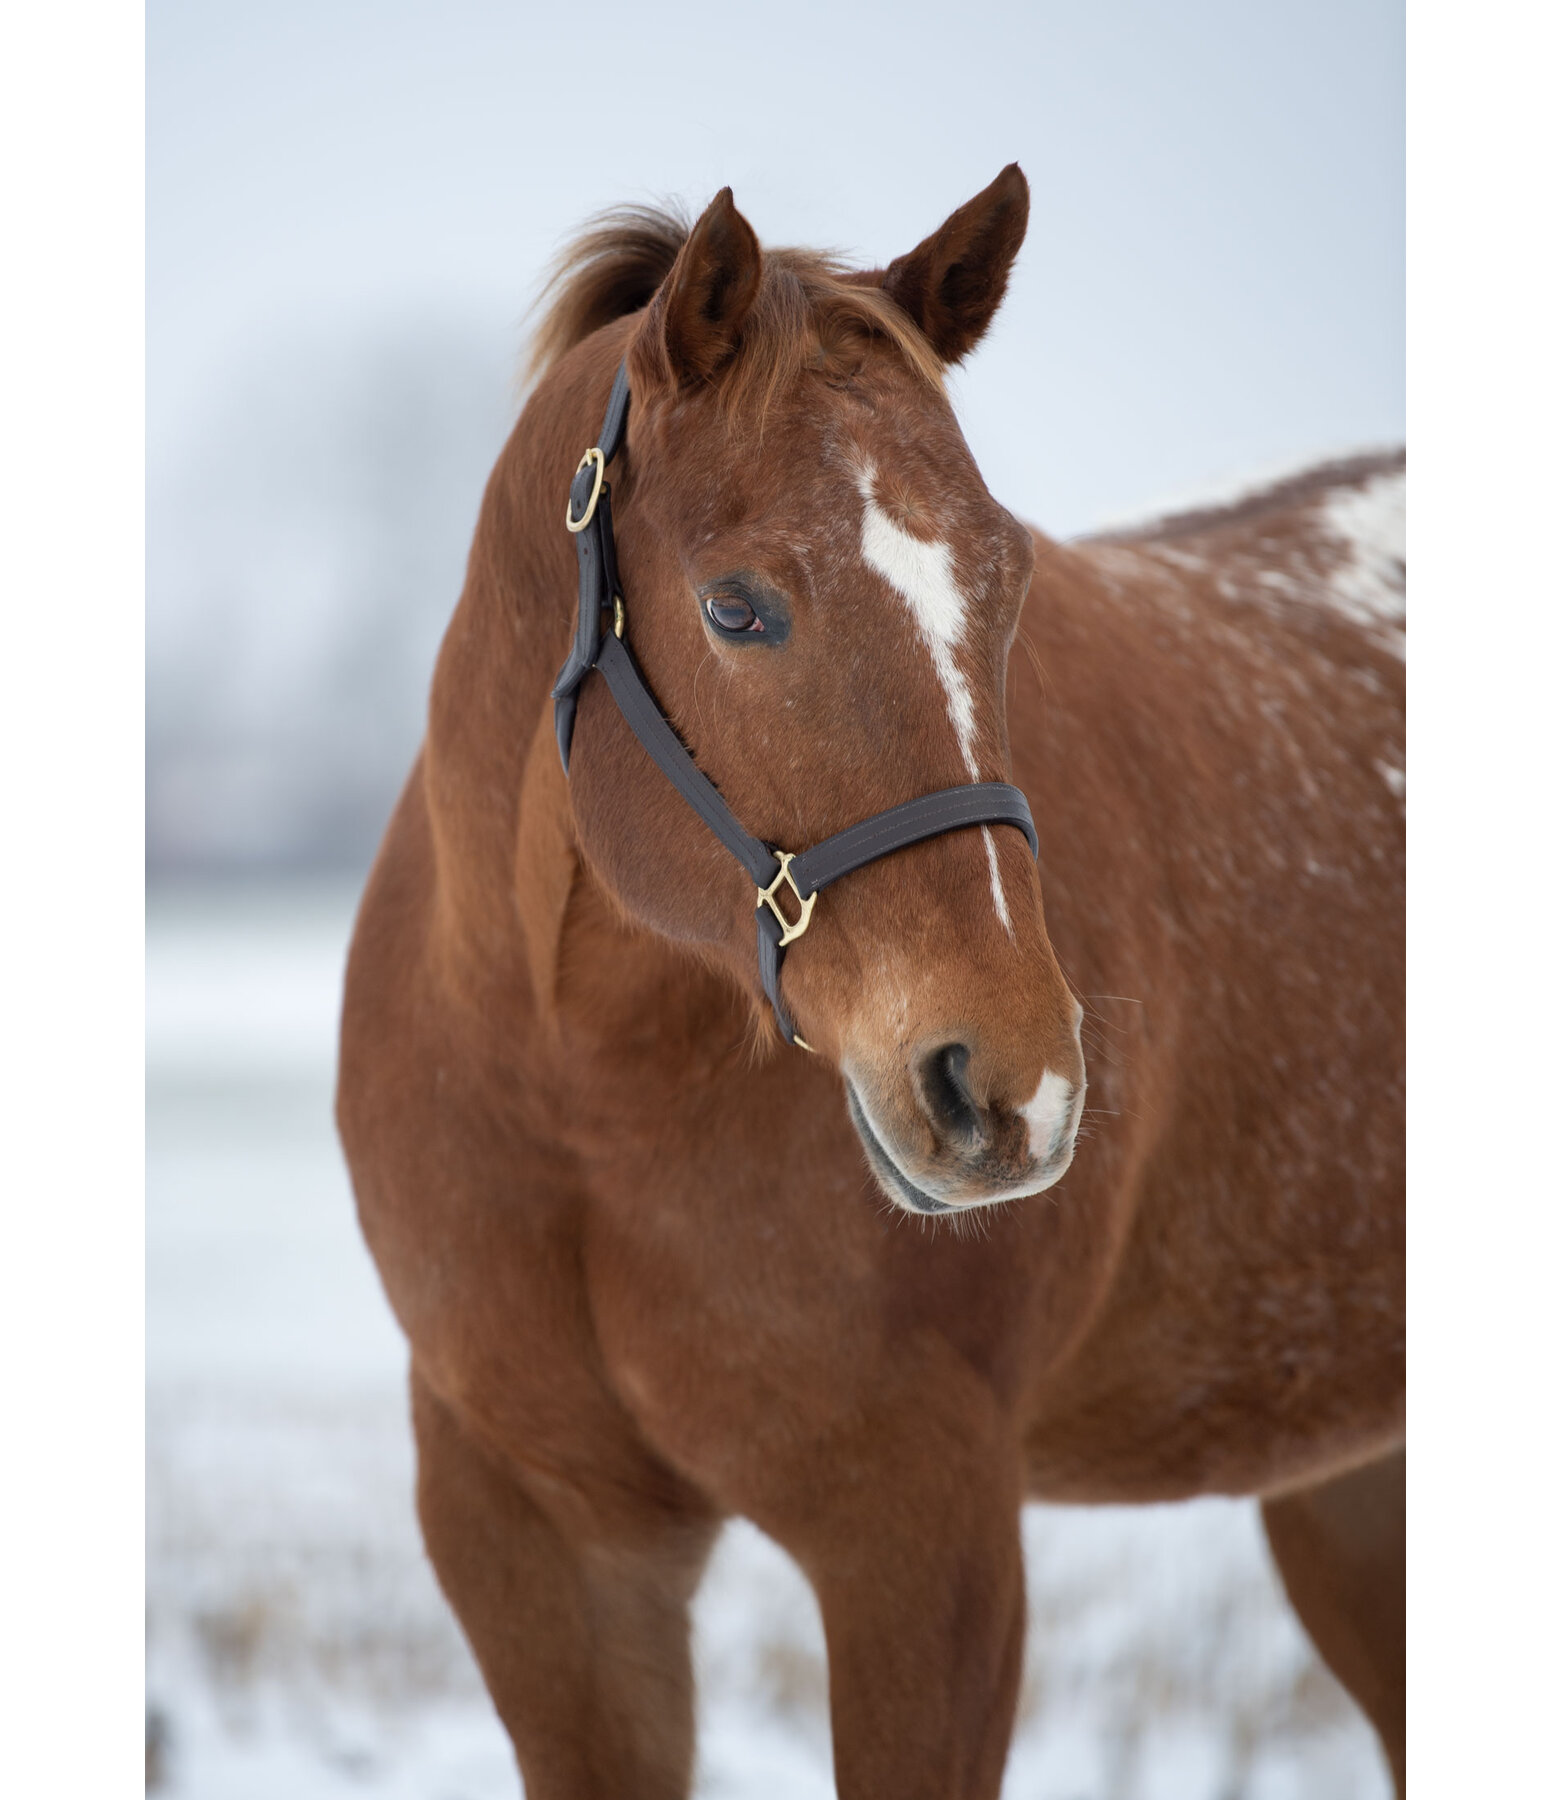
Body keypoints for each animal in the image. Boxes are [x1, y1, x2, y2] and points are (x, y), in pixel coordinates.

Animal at [338, 165, 1404, 1785]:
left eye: (1007, 580)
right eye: (735, 607)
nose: (1007, 1084)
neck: (582, 1098)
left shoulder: (925, 1544)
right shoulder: (541, 1545)